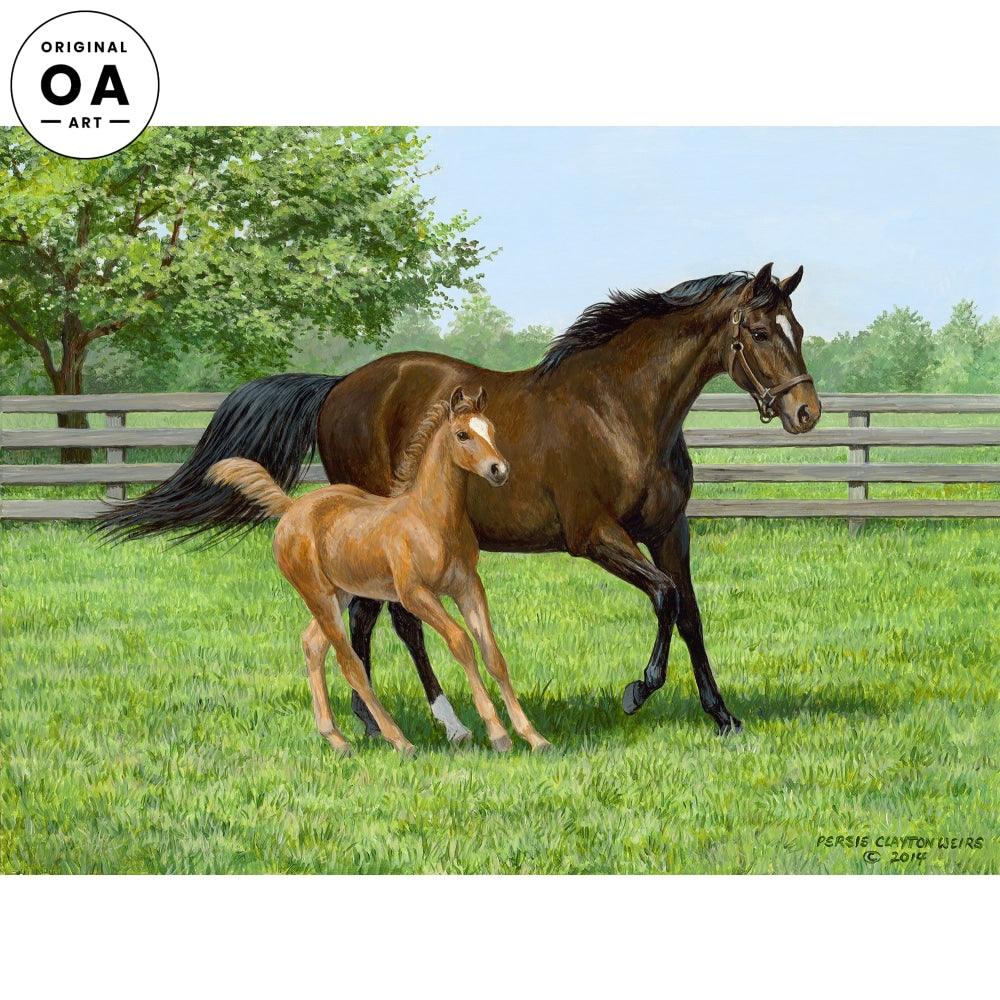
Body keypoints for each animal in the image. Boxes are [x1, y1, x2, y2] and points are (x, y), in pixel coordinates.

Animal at [206, 386, 550, 756]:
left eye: (491, 430)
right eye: (462, 434)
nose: (498, 469)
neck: (430, 519)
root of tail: (293, 507)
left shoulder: (468, 587)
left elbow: (493, 654)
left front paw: (534, 737)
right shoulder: (414, 595)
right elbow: (461, 643)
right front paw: (498, 735)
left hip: (340, 594)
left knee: (312, 644)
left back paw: (336, 739)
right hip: (318, 595)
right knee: (350, 664)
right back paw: (399, 740)